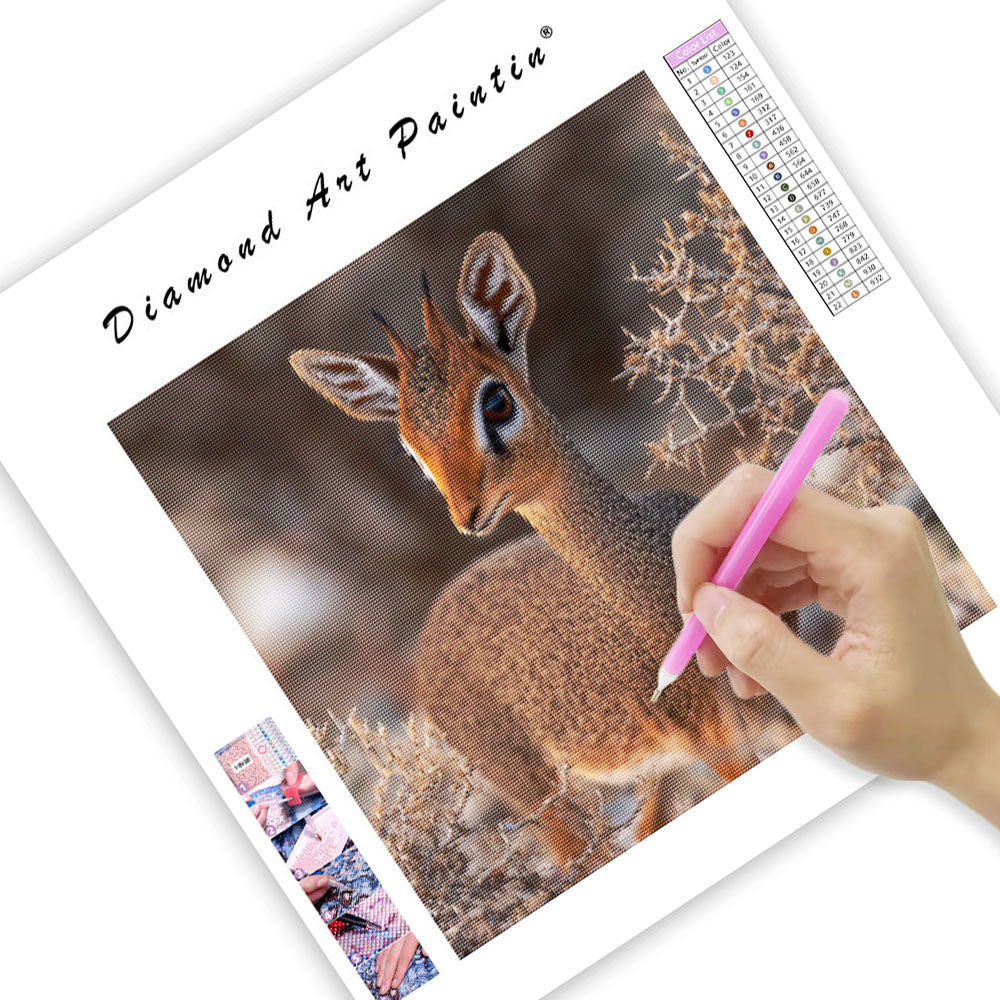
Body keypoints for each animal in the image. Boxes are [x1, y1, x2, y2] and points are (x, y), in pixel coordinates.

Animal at [290, 232, 797, 868]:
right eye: (410, 446)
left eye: (497, 401)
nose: (468, 513)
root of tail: (429, 633)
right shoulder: (721, 743)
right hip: (539, 792)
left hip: (647, 778)